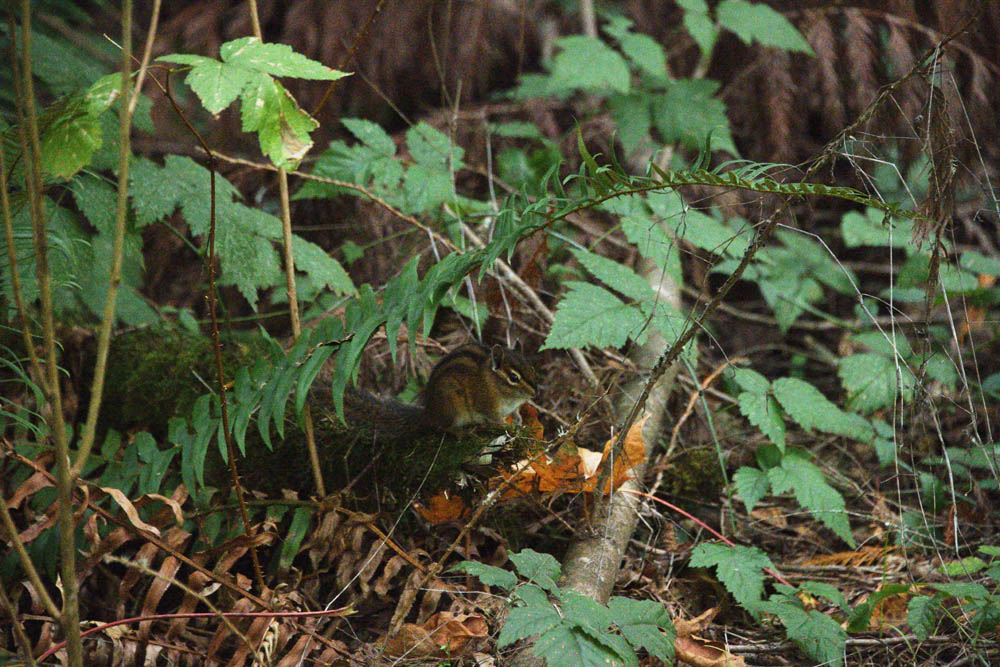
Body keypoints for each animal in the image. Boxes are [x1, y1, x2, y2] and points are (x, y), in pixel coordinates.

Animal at [340, 343, 538, 443]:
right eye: (513, 377)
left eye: (531, 367)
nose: (535, 393)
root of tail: (428, 413)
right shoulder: (486, 403)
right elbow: (495, 419)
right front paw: (507, 427)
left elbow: (516, 413)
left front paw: (519, 421)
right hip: (452, 403)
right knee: (443, 427)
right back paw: (461, 432)